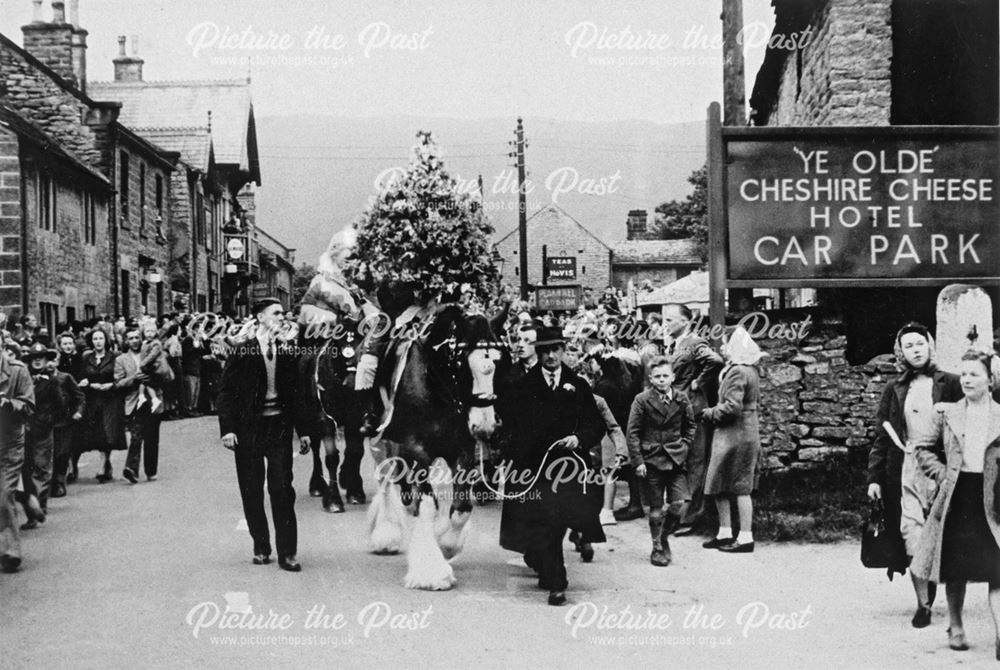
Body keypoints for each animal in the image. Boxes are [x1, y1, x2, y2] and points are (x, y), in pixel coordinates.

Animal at [366, 306, 508, 592]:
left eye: (498, 363)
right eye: (463, 363)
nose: (485, 425)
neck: (436, 384)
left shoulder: (462, 451)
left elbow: (461, 509)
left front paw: (446, 545)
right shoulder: (417, 451)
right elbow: (428, 504)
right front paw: (431, 572)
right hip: (381, 444)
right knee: (385, 483)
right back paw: (386, 535)